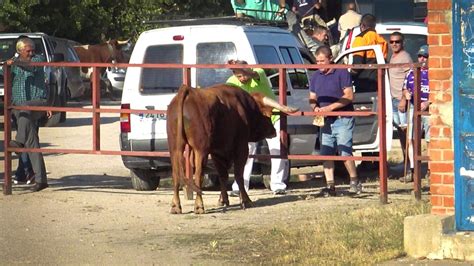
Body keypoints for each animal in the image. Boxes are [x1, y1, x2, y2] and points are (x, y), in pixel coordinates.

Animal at [167, 84, 298, 213]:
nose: (273, 131)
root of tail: (188, 91)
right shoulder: (241, 148)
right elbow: (239, 175)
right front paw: (245, 200)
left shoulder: (217, 153)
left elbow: (223, 175)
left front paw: (223, 200)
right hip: (200, 150)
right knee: (199, 175)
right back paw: (199, 206)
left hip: (175, 148)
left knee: (176, 174)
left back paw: (175, 206)